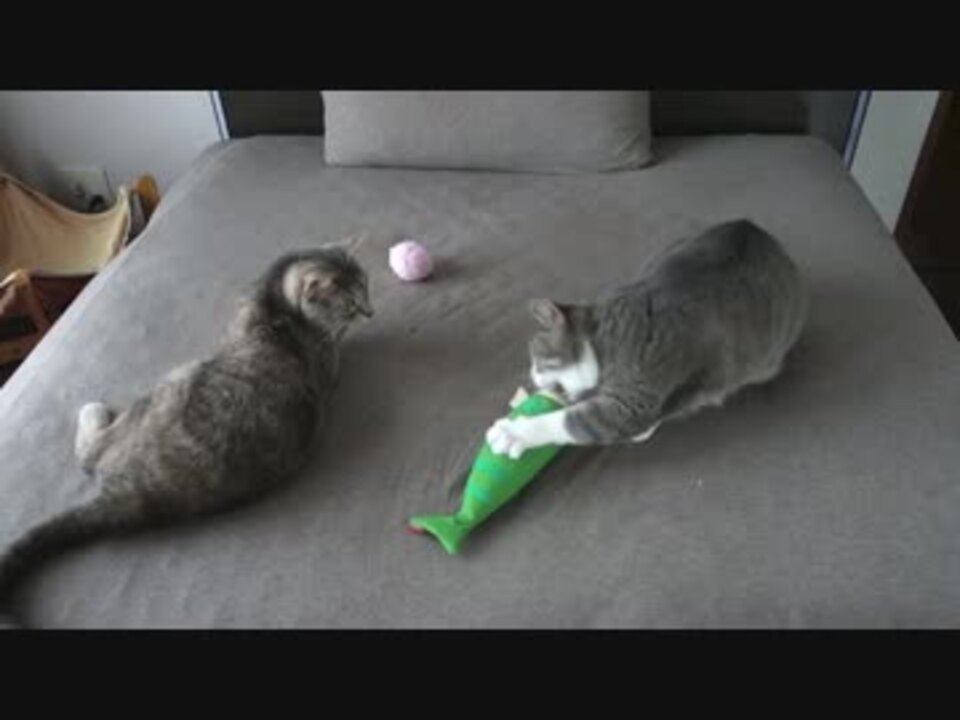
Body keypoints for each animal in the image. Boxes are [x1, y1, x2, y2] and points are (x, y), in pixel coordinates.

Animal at [0, 241, 372, 628]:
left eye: (367, 291)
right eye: (353, 303)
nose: (371, 312)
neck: (275, 301)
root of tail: (124, 499)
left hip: (170, 383)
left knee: (89, 453)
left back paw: (92, 410)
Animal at [486, 219, 808, 459]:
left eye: (537, 358)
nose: (531, 376)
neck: (607, 336)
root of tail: (754, 229)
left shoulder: (635, 400)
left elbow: (574, 420)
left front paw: (511, 433)